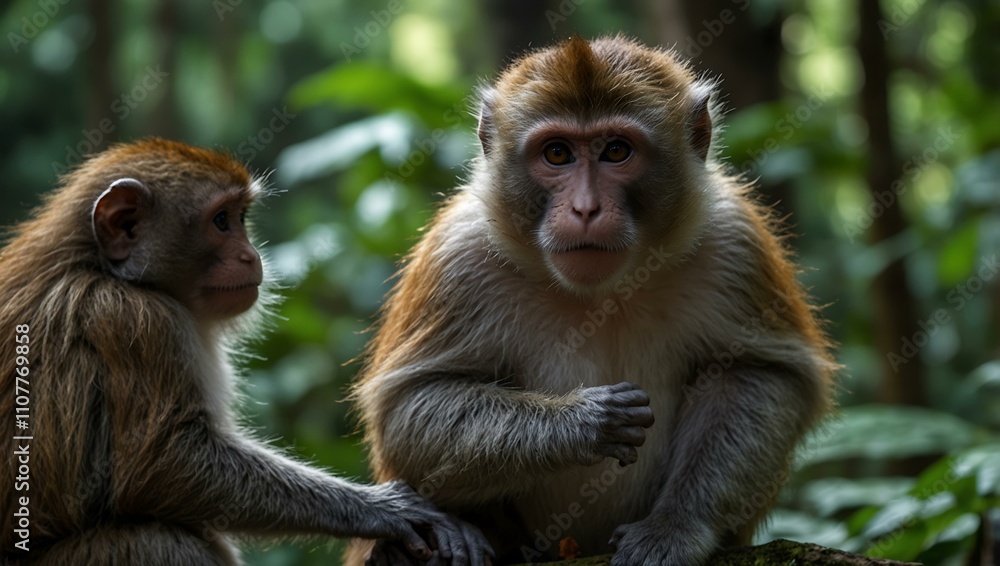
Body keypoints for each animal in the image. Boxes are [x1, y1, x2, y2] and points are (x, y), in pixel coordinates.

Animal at [0, 138, 492, 565]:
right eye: (222, 221)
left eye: (241, 217)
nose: (252, 255)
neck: (97, 265)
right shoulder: (139, 321)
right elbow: (162, 464)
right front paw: (383, 509)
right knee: (153, 542)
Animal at [346, 36, 837, 566]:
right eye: (557, 153)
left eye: (616, 151)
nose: (585, 209)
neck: (597, 295)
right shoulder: (459, 257)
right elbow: (409, 409)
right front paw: (582, 423)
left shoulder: (735, 240)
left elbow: (761, 374)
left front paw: (673, 527)